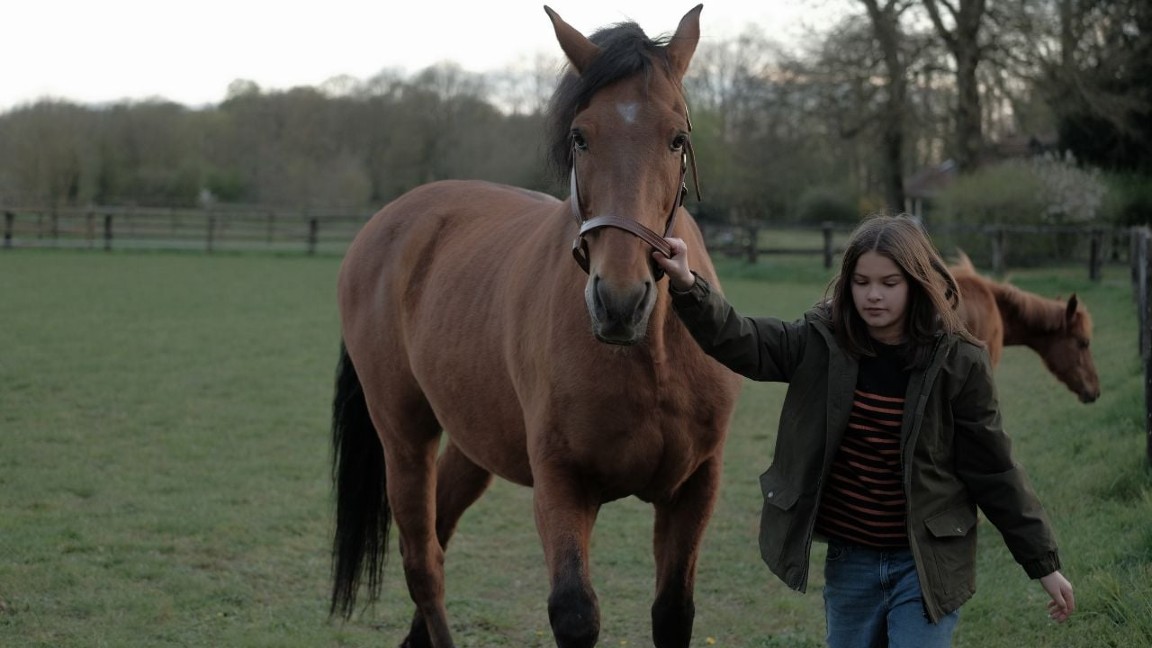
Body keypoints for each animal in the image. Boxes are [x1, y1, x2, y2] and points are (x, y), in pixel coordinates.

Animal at [331, 6, 746, 645]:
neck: (650, 360)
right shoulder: (561, 483)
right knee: (423, 562)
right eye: (580, 136)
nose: (619, 301)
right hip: (403, 434)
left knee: (439, 534)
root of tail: (390, 222)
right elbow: (574, 611)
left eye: (677, 137)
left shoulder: (695, 488)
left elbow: (674, 611)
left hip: (472, 441)